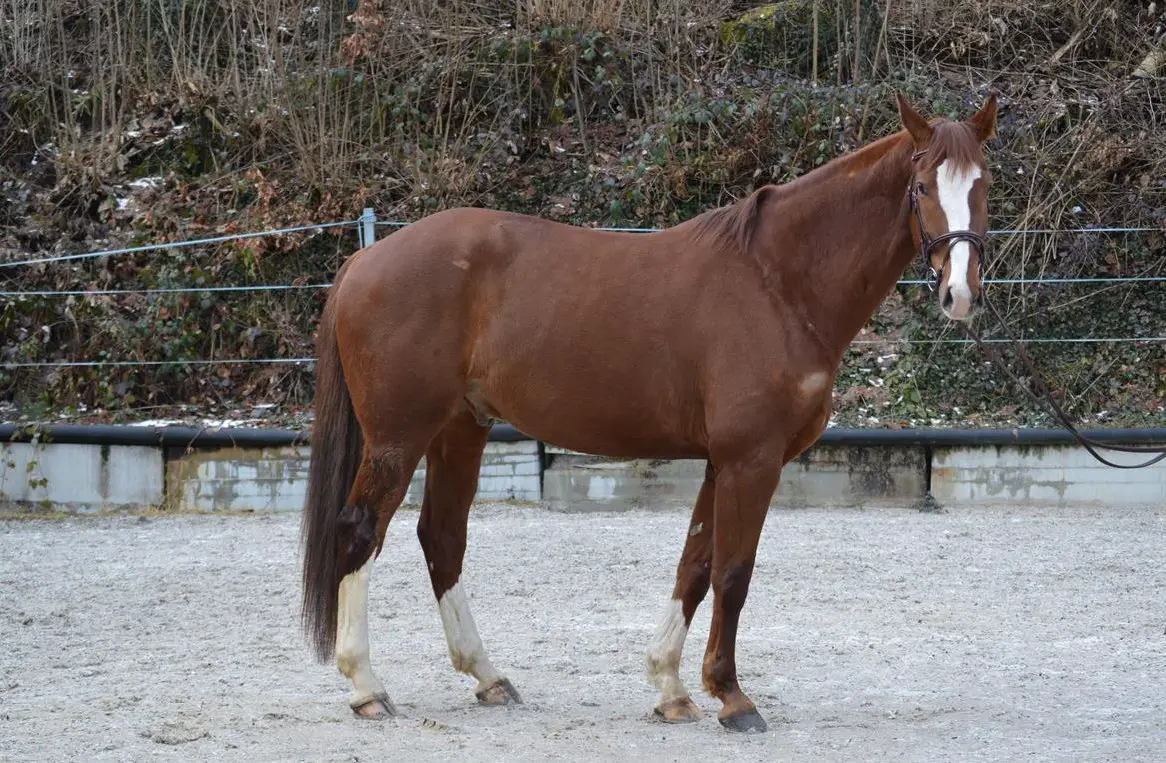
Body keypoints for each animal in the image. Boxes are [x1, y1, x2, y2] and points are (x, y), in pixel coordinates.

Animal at [299, 92, 997, 732]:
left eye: (983, 183)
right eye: (922, 185)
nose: (959, 294)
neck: (778, 282)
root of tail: (364, 260)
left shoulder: (722, 461)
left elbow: (696, 566)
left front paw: (671, 688)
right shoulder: (752, 460)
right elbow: (734, 574)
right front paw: (733, 698)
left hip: (460, 429)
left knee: (441, 538)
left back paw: (489, 677)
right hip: (398, 437)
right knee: (360, 530)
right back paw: (367, 686)